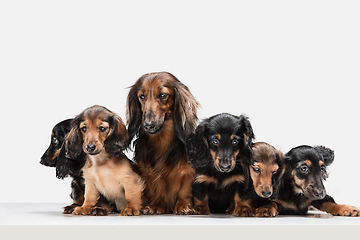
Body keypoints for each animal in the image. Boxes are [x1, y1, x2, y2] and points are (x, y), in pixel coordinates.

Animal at [126, 71, 200, 216]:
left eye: (162, 95)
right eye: (141, 96)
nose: (148, 125)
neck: (161, 140)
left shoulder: (188, 171)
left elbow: (185, 189)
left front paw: (184, 206)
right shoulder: (148, 172)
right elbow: (155, 187)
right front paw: (155, 205)